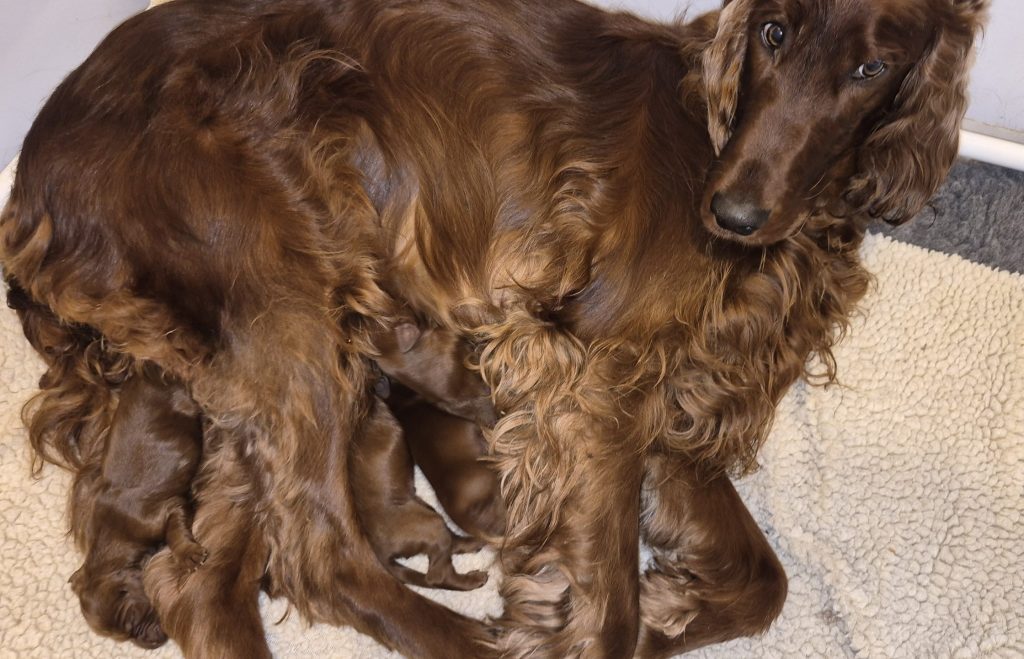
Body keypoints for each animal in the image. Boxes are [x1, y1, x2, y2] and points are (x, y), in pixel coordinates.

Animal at [1, 0, 987, 655]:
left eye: (871, 70)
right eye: (776, 33)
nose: (733, 213)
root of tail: (35, 159)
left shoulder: (671, 406)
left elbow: (765, 581)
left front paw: (665, 607)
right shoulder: (595, 375)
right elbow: (612, 607)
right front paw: (596, 616)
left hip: (246, 359)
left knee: (201, 579)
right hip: (284, 301)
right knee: (319, 552)